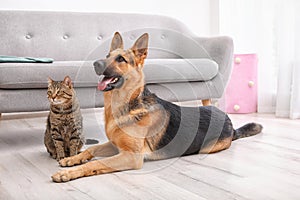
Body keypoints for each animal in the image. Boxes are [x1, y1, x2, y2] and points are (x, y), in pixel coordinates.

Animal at [52, 32, 262, 182]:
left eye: (120, 59)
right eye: (107, 55)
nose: (95, 63)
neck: (125, 105)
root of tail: (229, 122)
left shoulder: (131, 156)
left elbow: (96, 163)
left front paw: (70, 173)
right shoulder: (115, 145)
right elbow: (91, 150)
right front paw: (72, 159)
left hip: (207, 148)